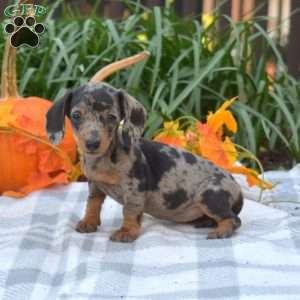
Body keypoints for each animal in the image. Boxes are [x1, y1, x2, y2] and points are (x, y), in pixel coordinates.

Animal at [47, 83, 244, 243]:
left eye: (111, 117)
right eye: (76, 115)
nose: (92, 143)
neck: (105, 159)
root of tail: (236, 186)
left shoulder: (134, 189)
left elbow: (129, 211)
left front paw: (126, 231)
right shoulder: (95, 185)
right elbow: (92, 204)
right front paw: (88, 222)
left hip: (209, 195)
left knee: (234, 219)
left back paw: (221, 231)